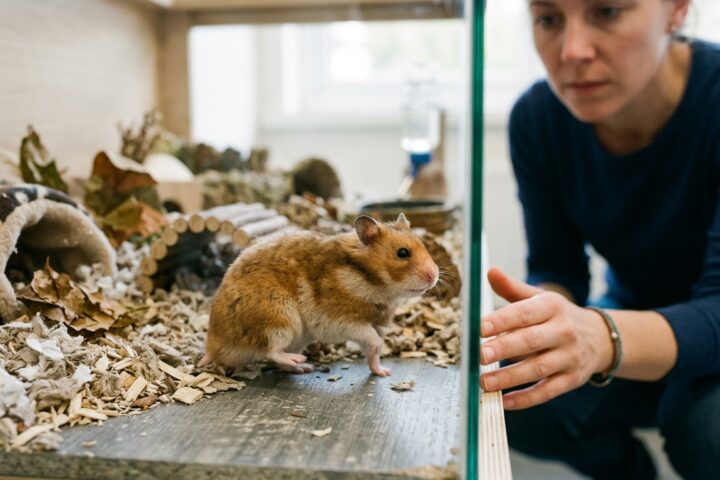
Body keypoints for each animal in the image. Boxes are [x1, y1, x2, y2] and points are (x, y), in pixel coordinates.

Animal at [200, 213, 439, 377]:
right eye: (402, 253)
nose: (434, 276)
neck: (372, 281)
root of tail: (213, 345)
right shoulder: (341, 321)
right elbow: (373, 340)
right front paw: (385, 366)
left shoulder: (374, 325)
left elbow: (372, 350)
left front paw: (384, 372)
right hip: (278, 319)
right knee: (271, 351)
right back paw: (300, 361)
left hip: (295, 335)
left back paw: (302, 367)